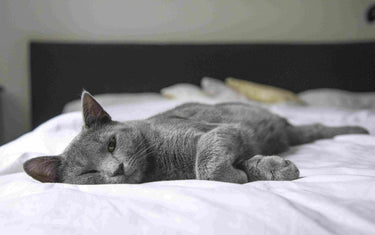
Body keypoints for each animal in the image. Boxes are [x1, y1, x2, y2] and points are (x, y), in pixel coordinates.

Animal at [24, 91, 370, 185]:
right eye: (88, 173)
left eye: (111, 144)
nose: (116, 169)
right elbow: (221, 167)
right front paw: (264, 169)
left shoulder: (216, 132)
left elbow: (205, 164)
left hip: (283, 127)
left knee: (317, 127)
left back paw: (360, 130)